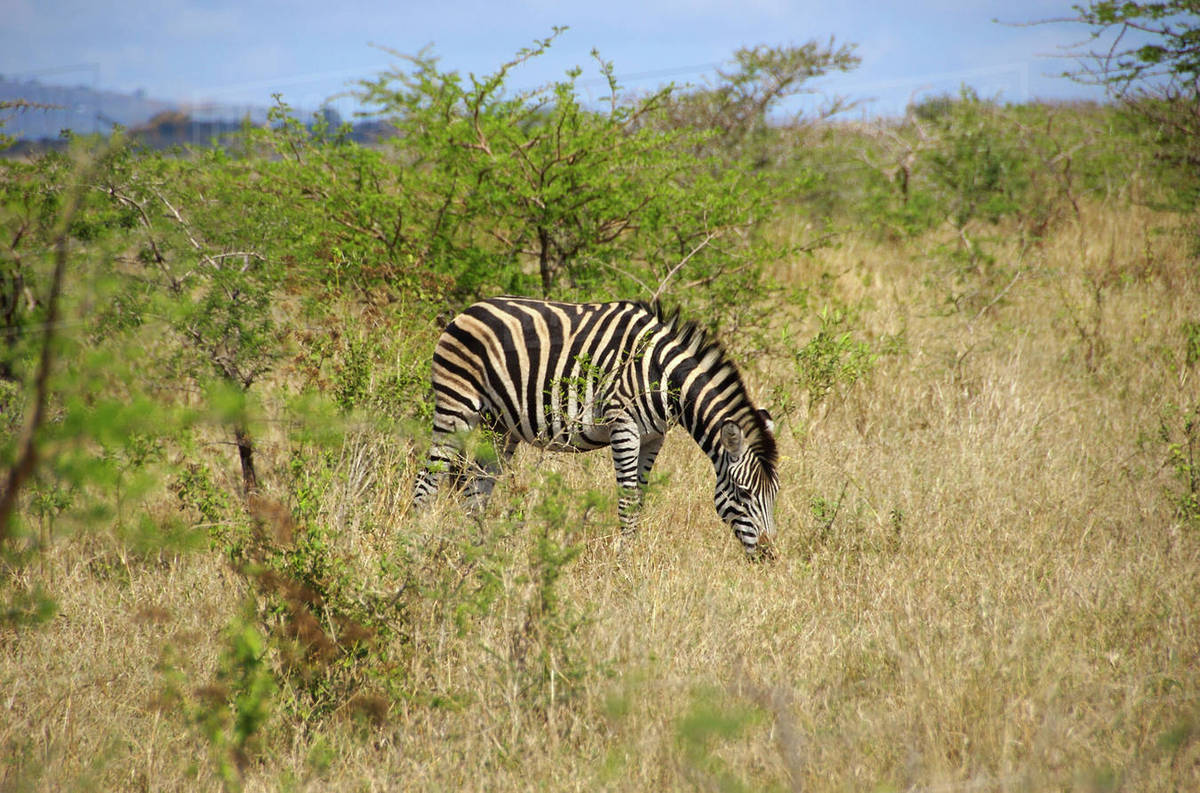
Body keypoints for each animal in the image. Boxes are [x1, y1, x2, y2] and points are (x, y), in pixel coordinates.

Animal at [412, 296, 779, 556]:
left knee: (477, 489)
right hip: (456, 404)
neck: (661, 375)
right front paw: (621, 570)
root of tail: (467, 310)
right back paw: (414, 546)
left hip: (499, 425)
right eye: (744, 493)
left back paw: (476, 555)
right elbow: (627, 502)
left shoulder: (654, 437)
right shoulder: (623, 426)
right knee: (427, 478)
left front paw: (629, 560)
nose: (769, 554)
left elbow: (639, 500)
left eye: (774, 495)